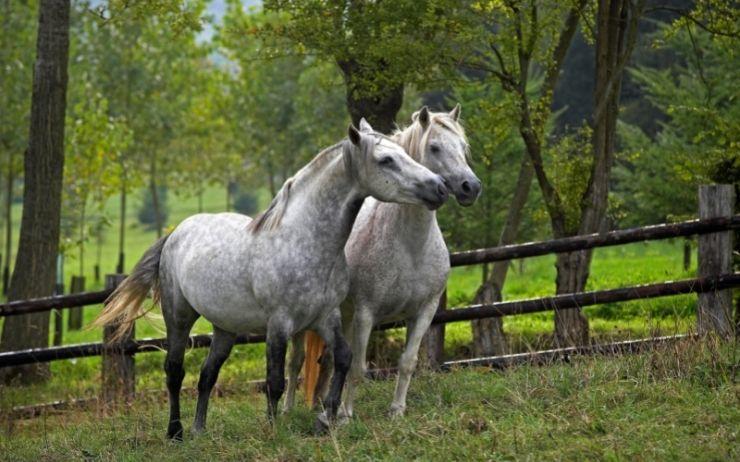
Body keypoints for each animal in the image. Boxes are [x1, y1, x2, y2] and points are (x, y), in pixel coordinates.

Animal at [95, 121, 448, 438]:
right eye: (386, 160)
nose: (440, 187)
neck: (304, 241)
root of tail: (175, 233)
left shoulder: (326, 317)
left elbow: (343, 358)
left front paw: (326, 419)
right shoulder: (279, 324)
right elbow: (275, 381)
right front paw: (274, 429)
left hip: (225, 329)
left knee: (207, 375)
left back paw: (199, 429)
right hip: (179, 317)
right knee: (174, 372)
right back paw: (175, 431)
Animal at [284, 106, 480, 416]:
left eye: (463, 147)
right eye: (434, 147)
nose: (470, 187)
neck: (411, 246)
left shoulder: (424, 311)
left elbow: (407, 362)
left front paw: (397, 411)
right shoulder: (366, 313)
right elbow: (357, 367)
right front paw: (346, 415)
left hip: (341, 315)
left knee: (327, 360)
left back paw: (322, 404)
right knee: (297, 361)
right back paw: (288, 409)